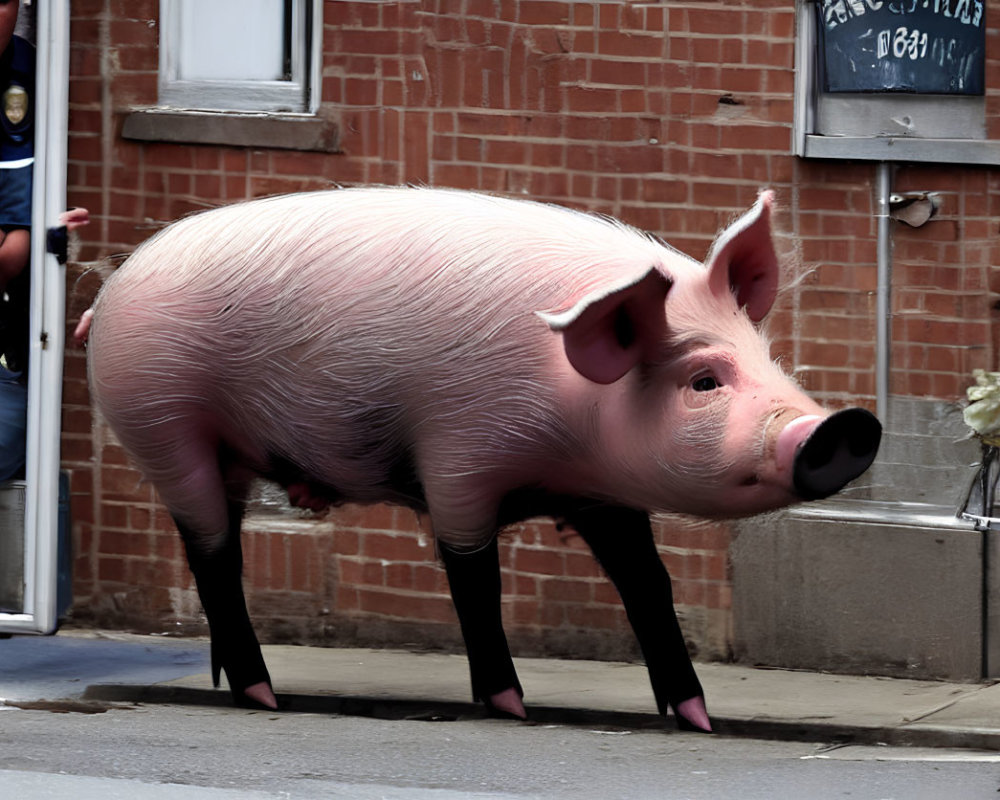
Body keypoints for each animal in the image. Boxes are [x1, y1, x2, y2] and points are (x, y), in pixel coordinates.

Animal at [88, 186, 884, 712]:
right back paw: (264, 697)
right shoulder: (458, 454)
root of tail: (110, 290)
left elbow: (646, 583)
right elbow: (475, 580)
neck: (566, 429)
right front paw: (511, 707)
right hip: (164, 421)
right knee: (213, 554)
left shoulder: (604, 493)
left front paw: (697, 718)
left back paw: (231, 685)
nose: (842, 427)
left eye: (770, 358)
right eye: (704, 380)